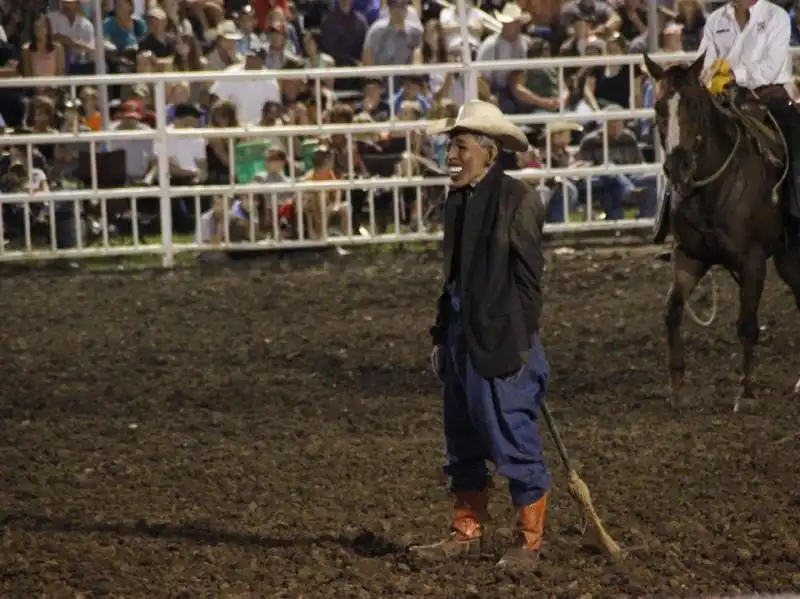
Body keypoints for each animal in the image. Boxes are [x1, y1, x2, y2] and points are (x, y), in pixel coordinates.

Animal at [644, 52, 800, 412]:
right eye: (658, 106)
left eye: (693, 105)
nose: (677, 168)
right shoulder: (689, 257)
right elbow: (672, 311)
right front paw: (677, 387)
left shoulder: (752, 261)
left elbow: (747, 326)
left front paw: (746, 393)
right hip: (788, 258)